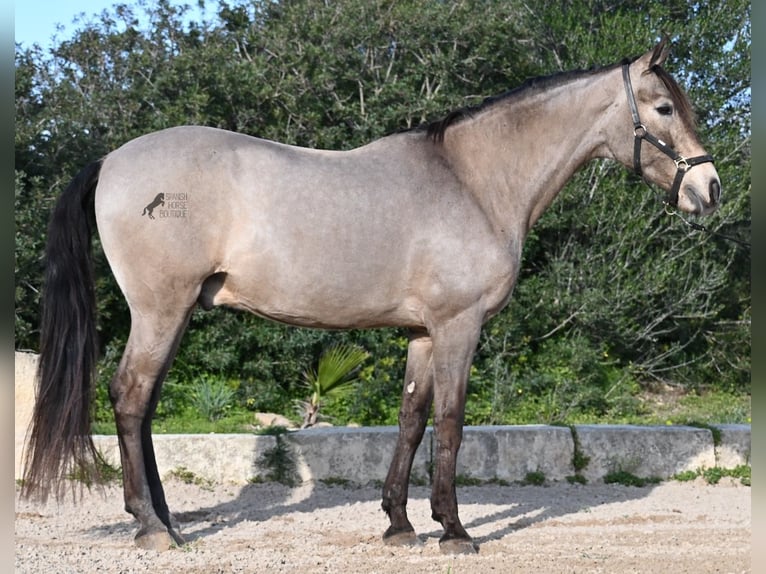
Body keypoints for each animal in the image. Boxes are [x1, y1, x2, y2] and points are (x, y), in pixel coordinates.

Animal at [22, 38, 720, 556]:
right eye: (663, 108)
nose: (708, 190)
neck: (473, 181)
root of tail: (112, 161)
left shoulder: (422, 332)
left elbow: (411, 417)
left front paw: (400, 524)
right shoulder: (459, 325)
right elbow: (451, 421)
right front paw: (455, 531)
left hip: (174, 313)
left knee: (143, 407)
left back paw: (167, 520)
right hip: (160, 310)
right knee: (130, 398)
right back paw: (150, 528)